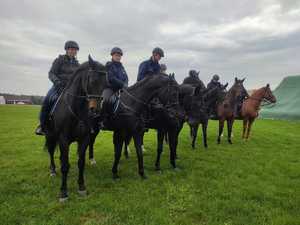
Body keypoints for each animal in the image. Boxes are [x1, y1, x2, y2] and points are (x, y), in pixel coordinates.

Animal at [44, 55, 106, 201]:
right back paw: (53, 171)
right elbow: (65, 166)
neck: (75, 109)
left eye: (105, 84)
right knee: (51, 152)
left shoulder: (84, 139)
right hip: (50, 136)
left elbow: (80, 163)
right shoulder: (63, 139)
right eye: (92, 80)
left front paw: (82, 187)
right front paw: (63, 192)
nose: (95, 110)